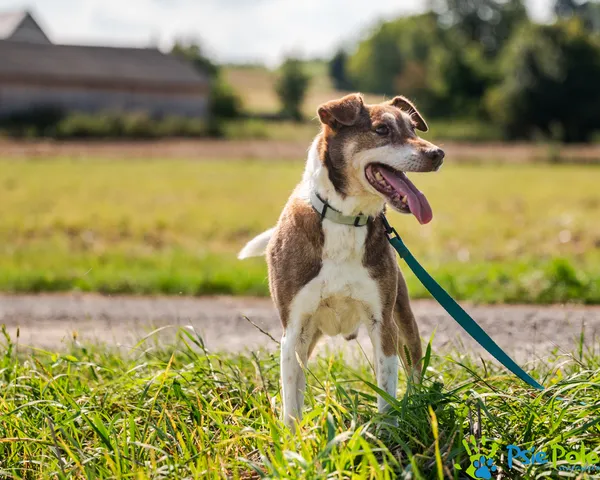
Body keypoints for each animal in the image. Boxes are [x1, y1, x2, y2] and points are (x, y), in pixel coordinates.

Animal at [237, 93, 442, 428]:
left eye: (413, 128)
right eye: (382, 129)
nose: (438, 154)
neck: (347, 218)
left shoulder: (382, 322)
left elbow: (387, 387)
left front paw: (388, 431)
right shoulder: (294, 329)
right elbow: (292, 395)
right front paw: (293, 436)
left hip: (403, 318)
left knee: (413, 364)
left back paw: (416, 405)